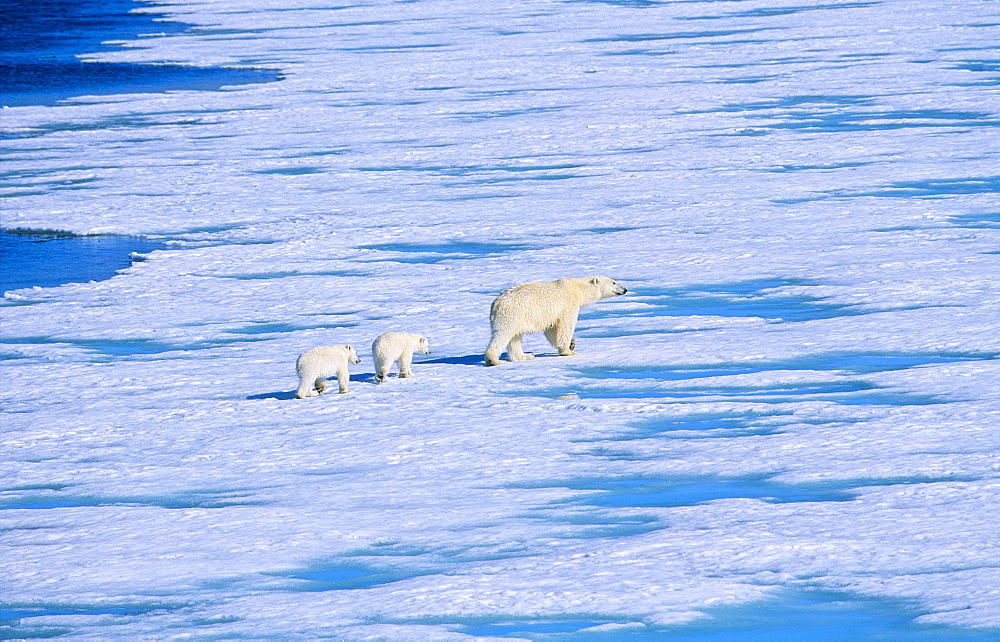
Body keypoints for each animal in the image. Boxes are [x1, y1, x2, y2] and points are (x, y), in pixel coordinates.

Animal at [482, 276, 624, 364]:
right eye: (614, 282)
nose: (625, 289)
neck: (577, 287)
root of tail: (496, 303)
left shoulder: (552, 314)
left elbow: (551, 329)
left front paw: (572, 344)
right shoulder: (568, 304)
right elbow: (565, 326)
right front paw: (569, 350)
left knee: (515, 337)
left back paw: (524, 356)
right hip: (513, 313)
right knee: (503, 333)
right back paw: (493, 360)